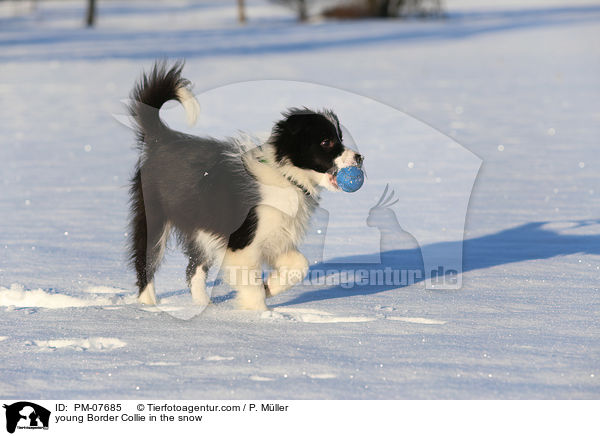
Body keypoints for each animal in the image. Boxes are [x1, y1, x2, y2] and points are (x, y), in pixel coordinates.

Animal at [127, 63, 360, 312]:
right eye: (326, 142)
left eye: (340, 138)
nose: (360, 157)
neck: (284, 175)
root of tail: (161, 139)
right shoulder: (243, 242)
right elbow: (251, 282)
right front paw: (258, 314)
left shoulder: (275, 235)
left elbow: (301, 264)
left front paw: (270, 287)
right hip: (155, 215)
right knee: (146, 261)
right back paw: (147, 305)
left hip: (201, 226)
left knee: (193, 270)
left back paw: (205, 307)